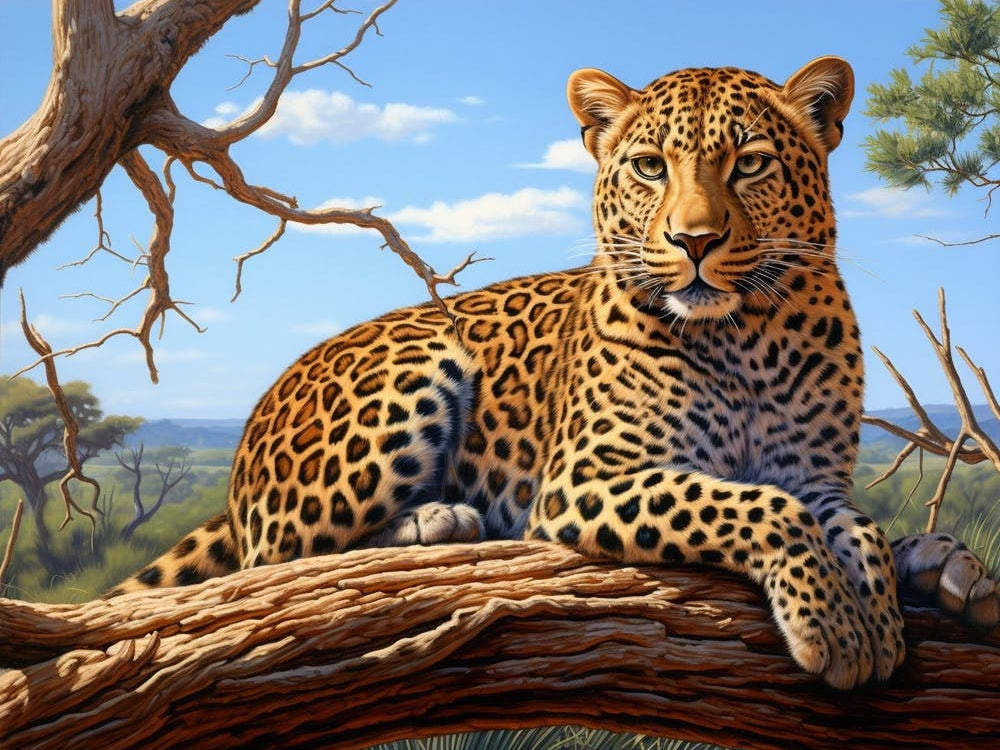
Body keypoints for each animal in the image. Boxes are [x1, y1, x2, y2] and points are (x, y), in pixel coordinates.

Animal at [110, 56, 1000, 689]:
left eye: (749, 165)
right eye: (649, 166)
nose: (695, 240)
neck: (743, 338)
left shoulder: (817, 478)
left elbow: (856, 528)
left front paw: (874, 611)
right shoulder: (586, 478)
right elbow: (759, 506)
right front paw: (840, 627)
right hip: (413, 369)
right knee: (278, 569)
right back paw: (433, 523)